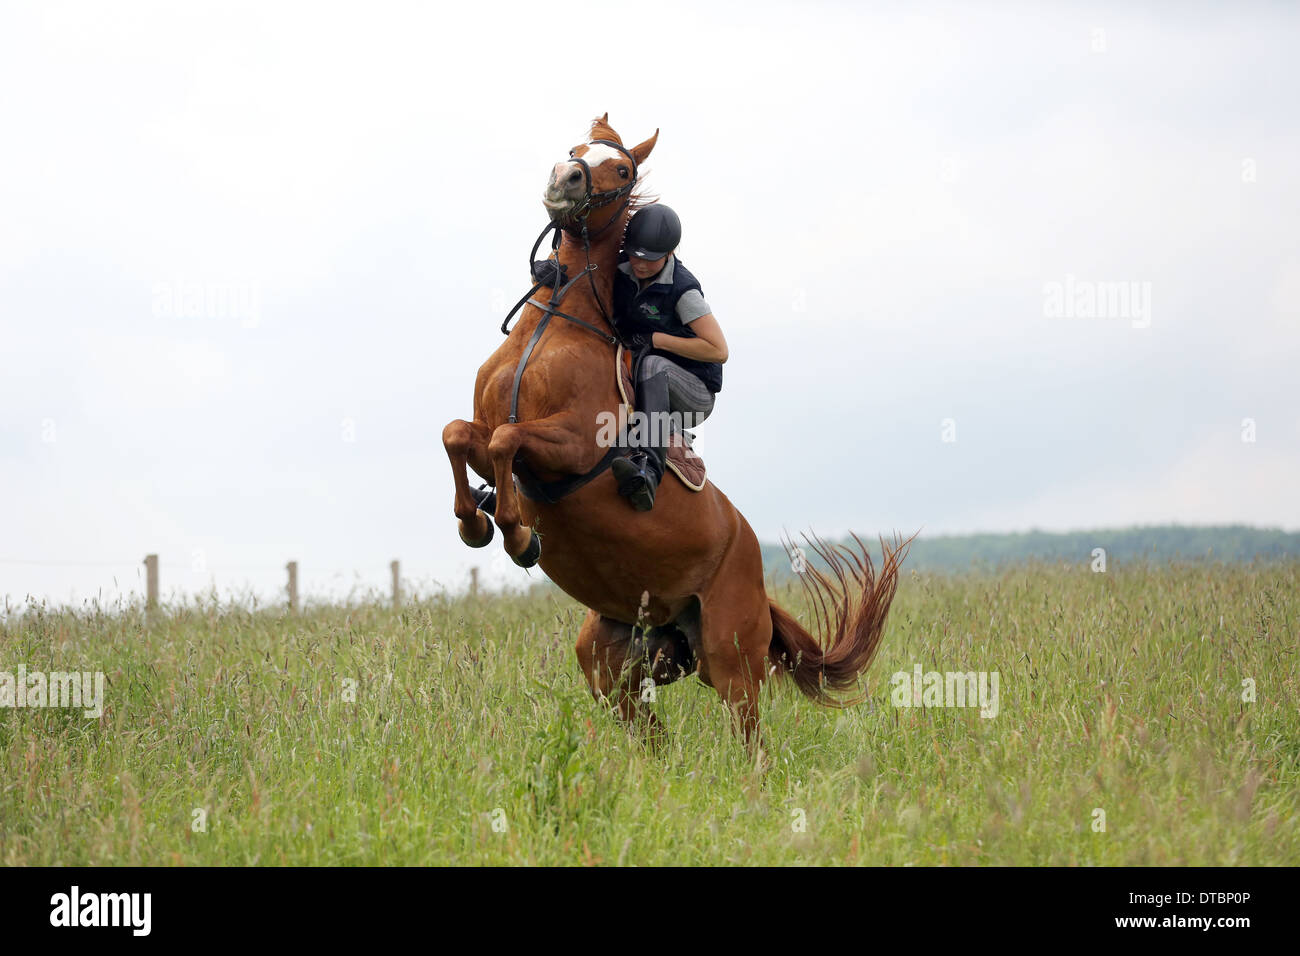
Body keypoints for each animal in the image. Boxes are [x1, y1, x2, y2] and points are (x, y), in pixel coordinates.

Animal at [442, 114, 912, 758]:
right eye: (575, 148)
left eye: (621, 168)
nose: (563, 178)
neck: (558, 319)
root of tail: (755, 569)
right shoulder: (489, 439)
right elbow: (461, 436)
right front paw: (474, 522)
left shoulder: (570, 447)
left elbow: (505, 440)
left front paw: (517, 535)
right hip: (613, 655)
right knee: (650, 732)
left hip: (729, 653)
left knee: (749, 736)